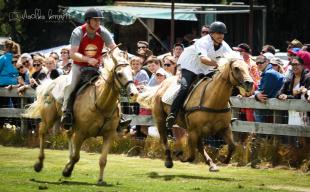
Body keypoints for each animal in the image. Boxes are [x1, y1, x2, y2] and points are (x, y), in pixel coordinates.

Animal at [24, 48, 139, 184]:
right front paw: (67, 171)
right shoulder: (80, 133)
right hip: (49, 119)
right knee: (42, 132)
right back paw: (39, 164)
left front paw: (100, 180)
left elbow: (102, 160)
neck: (101, 104)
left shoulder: (109, 135)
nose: (134, 94)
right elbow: (76, 157)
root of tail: (52, 82)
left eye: (132, 72)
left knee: (67, 134)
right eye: (120, 74)